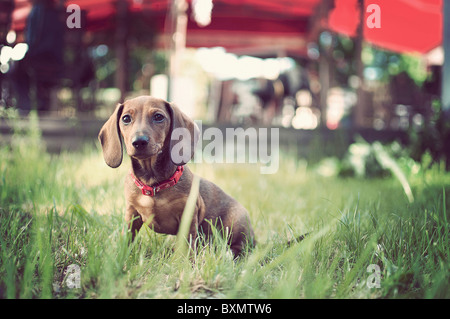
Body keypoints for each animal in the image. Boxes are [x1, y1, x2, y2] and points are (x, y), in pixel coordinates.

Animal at [98, 95, 255, 258]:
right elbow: (127, 237)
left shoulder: (188, 215)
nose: (139, 141)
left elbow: (187, 244)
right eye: (126, 118)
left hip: (235, 223)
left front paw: (185, 261)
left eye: (158, 117)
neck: (153, 184)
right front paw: (119, 256)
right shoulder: (132, 213)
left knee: (240, 247)